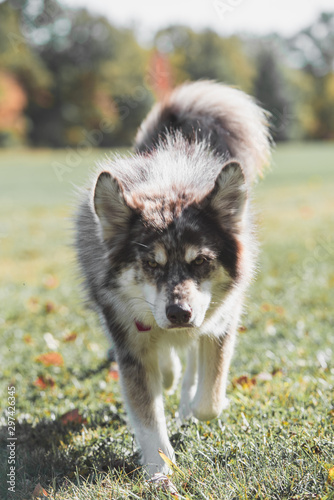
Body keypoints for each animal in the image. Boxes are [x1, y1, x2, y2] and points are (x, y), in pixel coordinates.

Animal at [75, 80, 272, 474]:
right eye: (151, 264)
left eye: (201, 261)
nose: (179, 313)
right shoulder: (130, 346)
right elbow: (149, 419)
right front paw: (161, 472)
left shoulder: (221, 323)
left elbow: (209, 400)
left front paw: (191, 408)